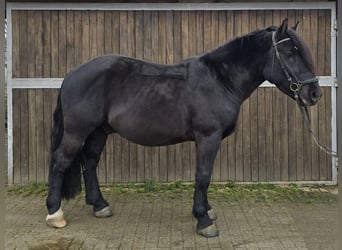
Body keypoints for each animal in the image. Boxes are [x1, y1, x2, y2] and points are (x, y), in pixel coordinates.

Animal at [44, 18, 320, 237]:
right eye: (290, 53)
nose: (314, 94)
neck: (220, 80)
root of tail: (72, 75)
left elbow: (205, 176)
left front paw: (207, 211)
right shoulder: (208, 138)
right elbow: (203, 176)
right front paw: (204, 221)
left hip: (99, 131)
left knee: (89, 161)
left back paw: (100, 205)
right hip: (77, 131)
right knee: (60, 162)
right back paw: (55, 213)